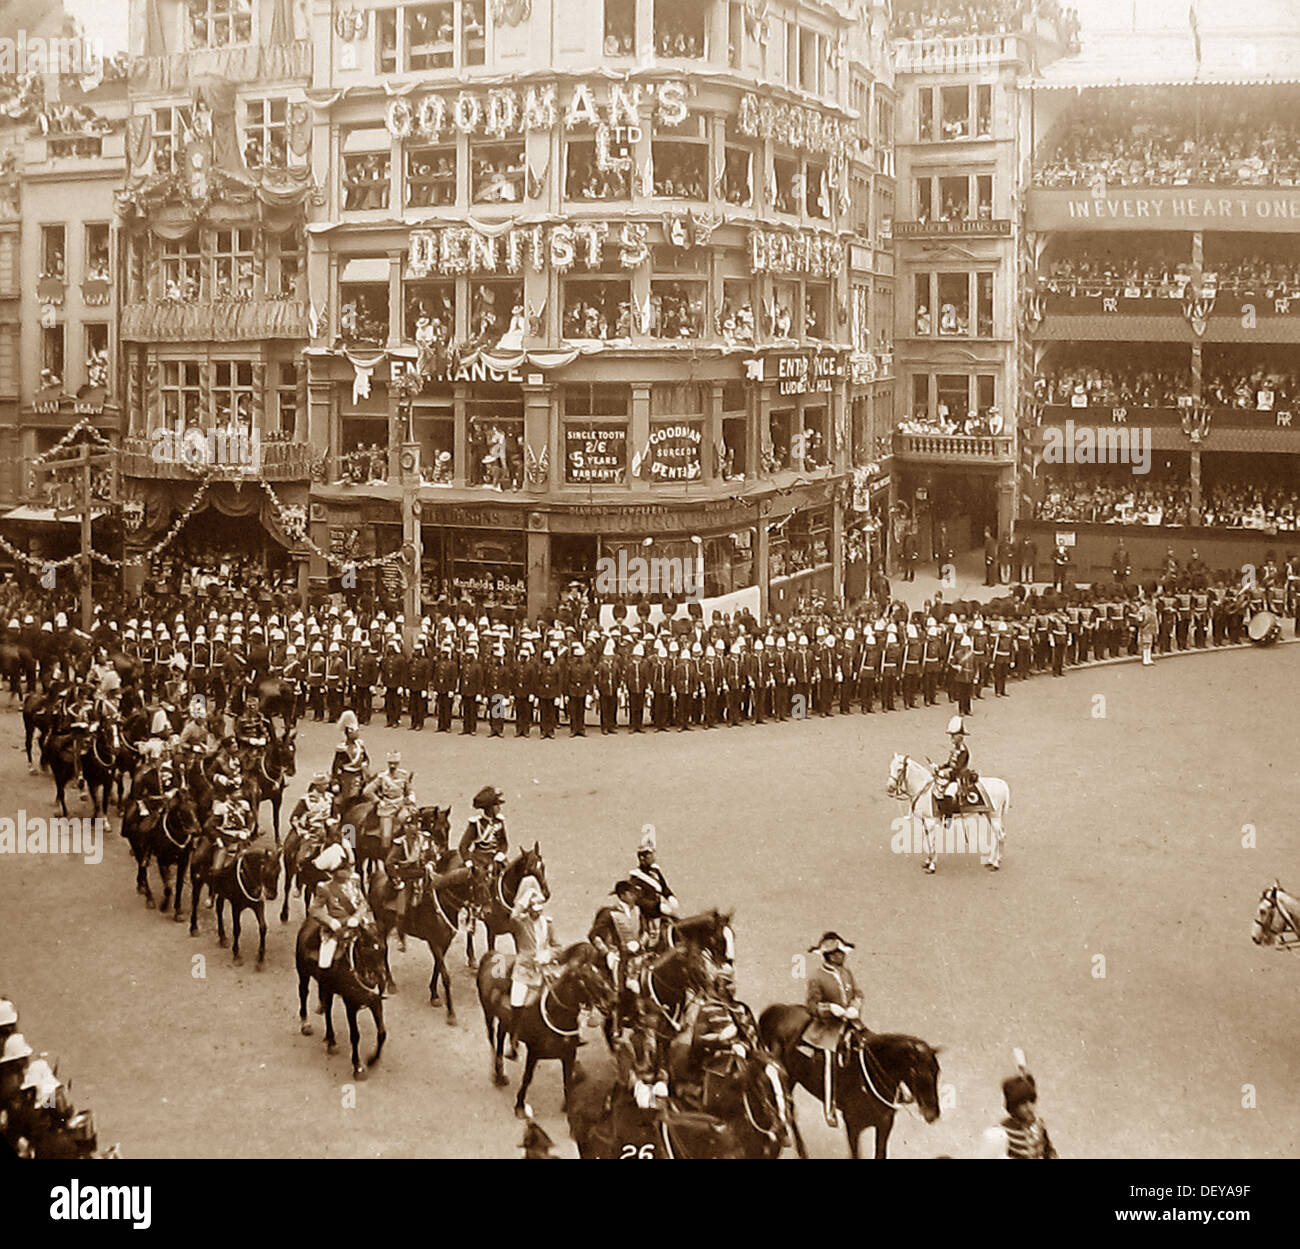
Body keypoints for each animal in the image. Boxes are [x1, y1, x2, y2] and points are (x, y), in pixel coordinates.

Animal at [297, 920, 387, 1076]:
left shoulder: (375, 1002)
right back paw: (305, 1024)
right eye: (367, 949)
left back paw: (331, 1040)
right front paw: (358, 1066)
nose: (381, 980)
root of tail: (308, 923)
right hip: (304, 973)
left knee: (327, 1009)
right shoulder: (350, 1005)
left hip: (327, 987)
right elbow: (355, 1035)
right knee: (303, 993)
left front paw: (372, 1060)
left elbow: (382, 1033)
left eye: (383, 949)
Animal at [478, 940, 613, 1117]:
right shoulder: (534, 1053)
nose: (611, 997)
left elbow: (568, 1079)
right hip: (488, 1014)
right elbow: (527, 1078)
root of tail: (491, 955)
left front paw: (568, 1105)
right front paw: (520, 1105)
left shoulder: (569, 1054)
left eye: (600, 970)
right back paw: (498, 1076)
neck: (556, 1014)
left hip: (504, 1021)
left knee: (501, 1038)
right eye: (583, 976)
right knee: (493, 1043)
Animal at [889, 748, 1008, 878]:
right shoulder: (925, 821)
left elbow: (932, 842)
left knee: (1000, 836)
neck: (924, 790)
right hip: (990, 815)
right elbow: (928, 842)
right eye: (890, 767)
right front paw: (928, 861)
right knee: (996, 836)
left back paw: (996, 864)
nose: (889, 788)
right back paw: (991, 861)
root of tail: (1003, 784)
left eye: (899, 769)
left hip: (994, 816)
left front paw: (932, 866)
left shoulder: (930, 822)